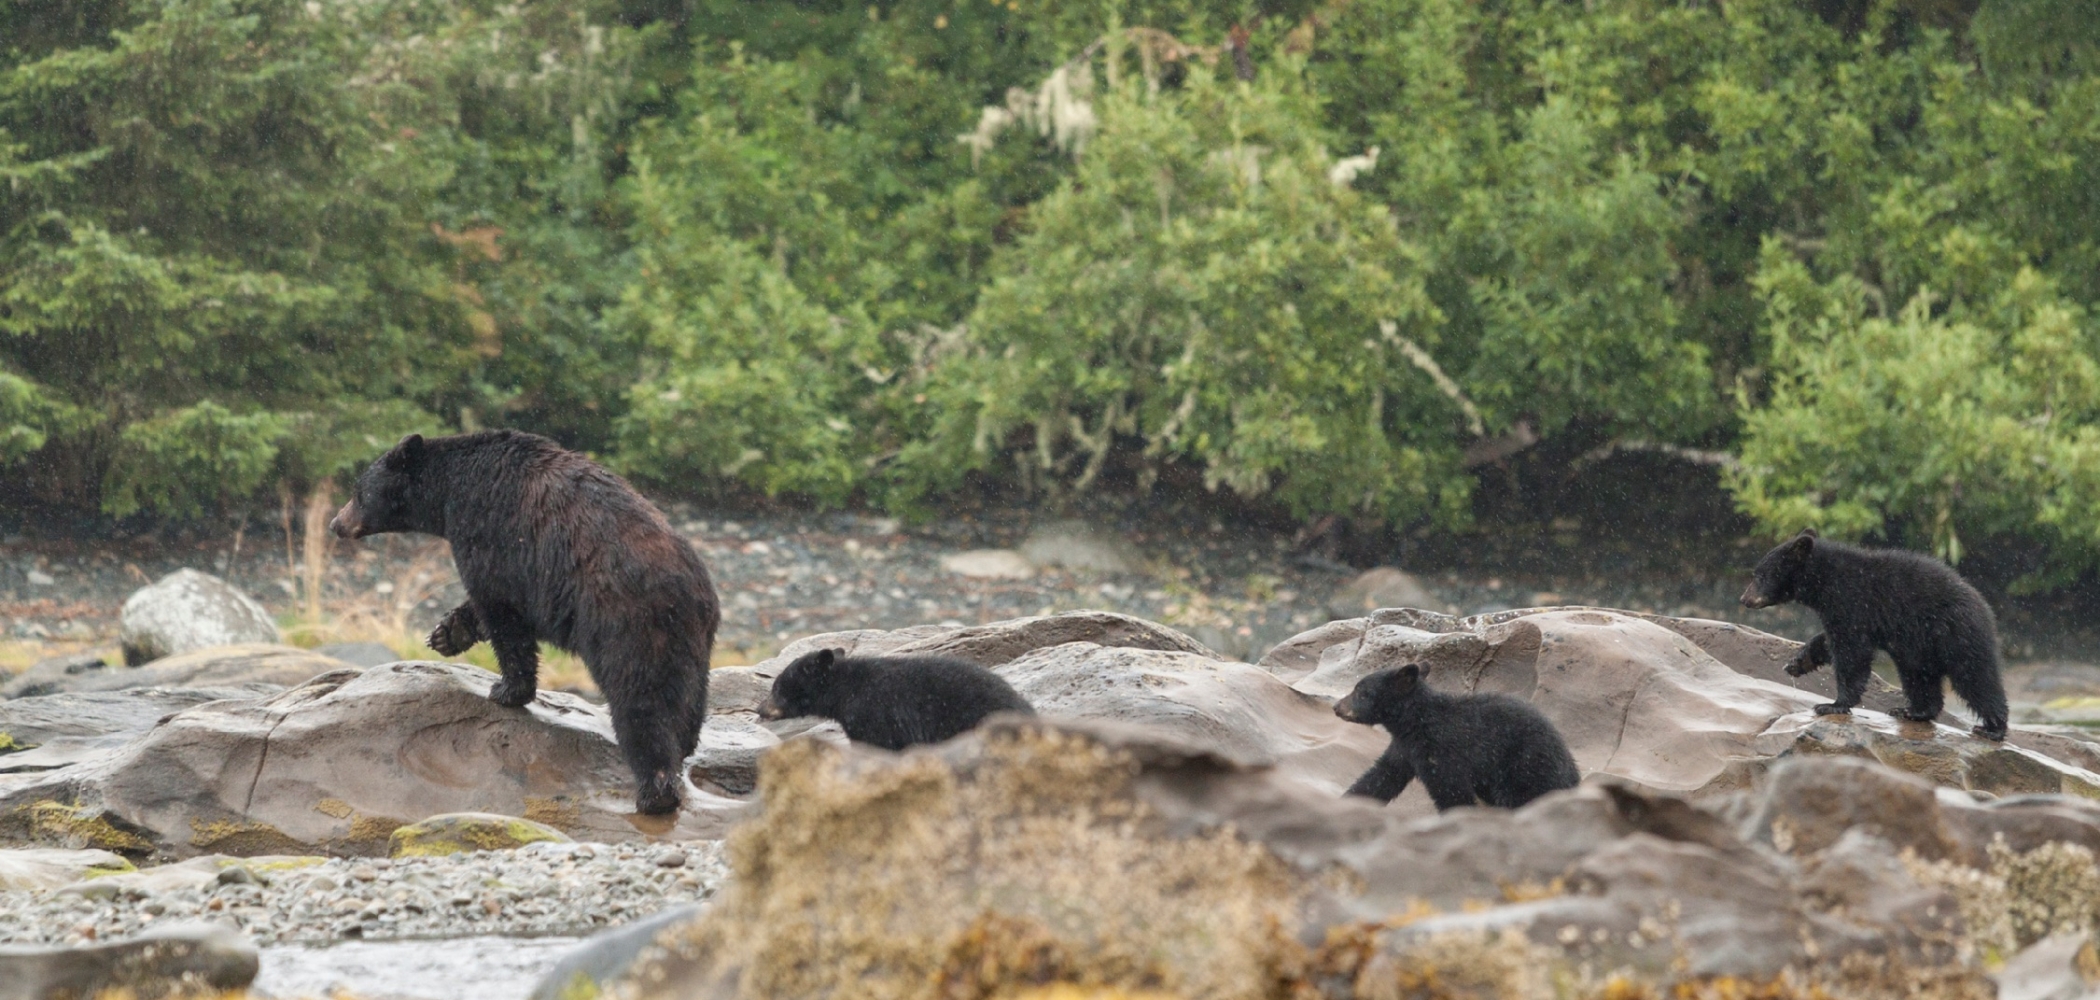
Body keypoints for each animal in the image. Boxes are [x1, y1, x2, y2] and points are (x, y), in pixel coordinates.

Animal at [327, 430, 718, 810]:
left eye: (359, 492)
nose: (335, 524)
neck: (450, 491)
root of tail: (683, 589)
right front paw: (446, 634)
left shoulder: (491, 533)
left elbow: (501, 610)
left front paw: (507, 689)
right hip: (695, 641)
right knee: (691, 696)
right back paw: (683, 747)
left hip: (625, 625)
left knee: (640, 701)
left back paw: (655, 791)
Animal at [1335, 663, 1579, 810]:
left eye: (1361, 692)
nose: (1336, 707)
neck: (1416, 721)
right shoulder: (1405, 748)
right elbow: (1381, 777)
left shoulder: (1441, 748)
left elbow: (1451, 789)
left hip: (1525, 765)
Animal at [1730, 527, 2007, 739]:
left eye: (1759, 575)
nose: (1744, 599)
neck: (1826, 581)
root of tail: (1985, 608)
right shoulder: (1840, 612)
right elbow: (1828, 640)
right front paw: (1798, 662)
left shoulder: (1852, 602)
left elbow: (1851, 652)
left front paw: (1832, 705)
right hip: (1920, 648)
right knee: (1919, 676)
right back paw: (1912, 711)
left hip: (1955, 634)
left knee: (1975, 677)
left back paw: (1993, 727)